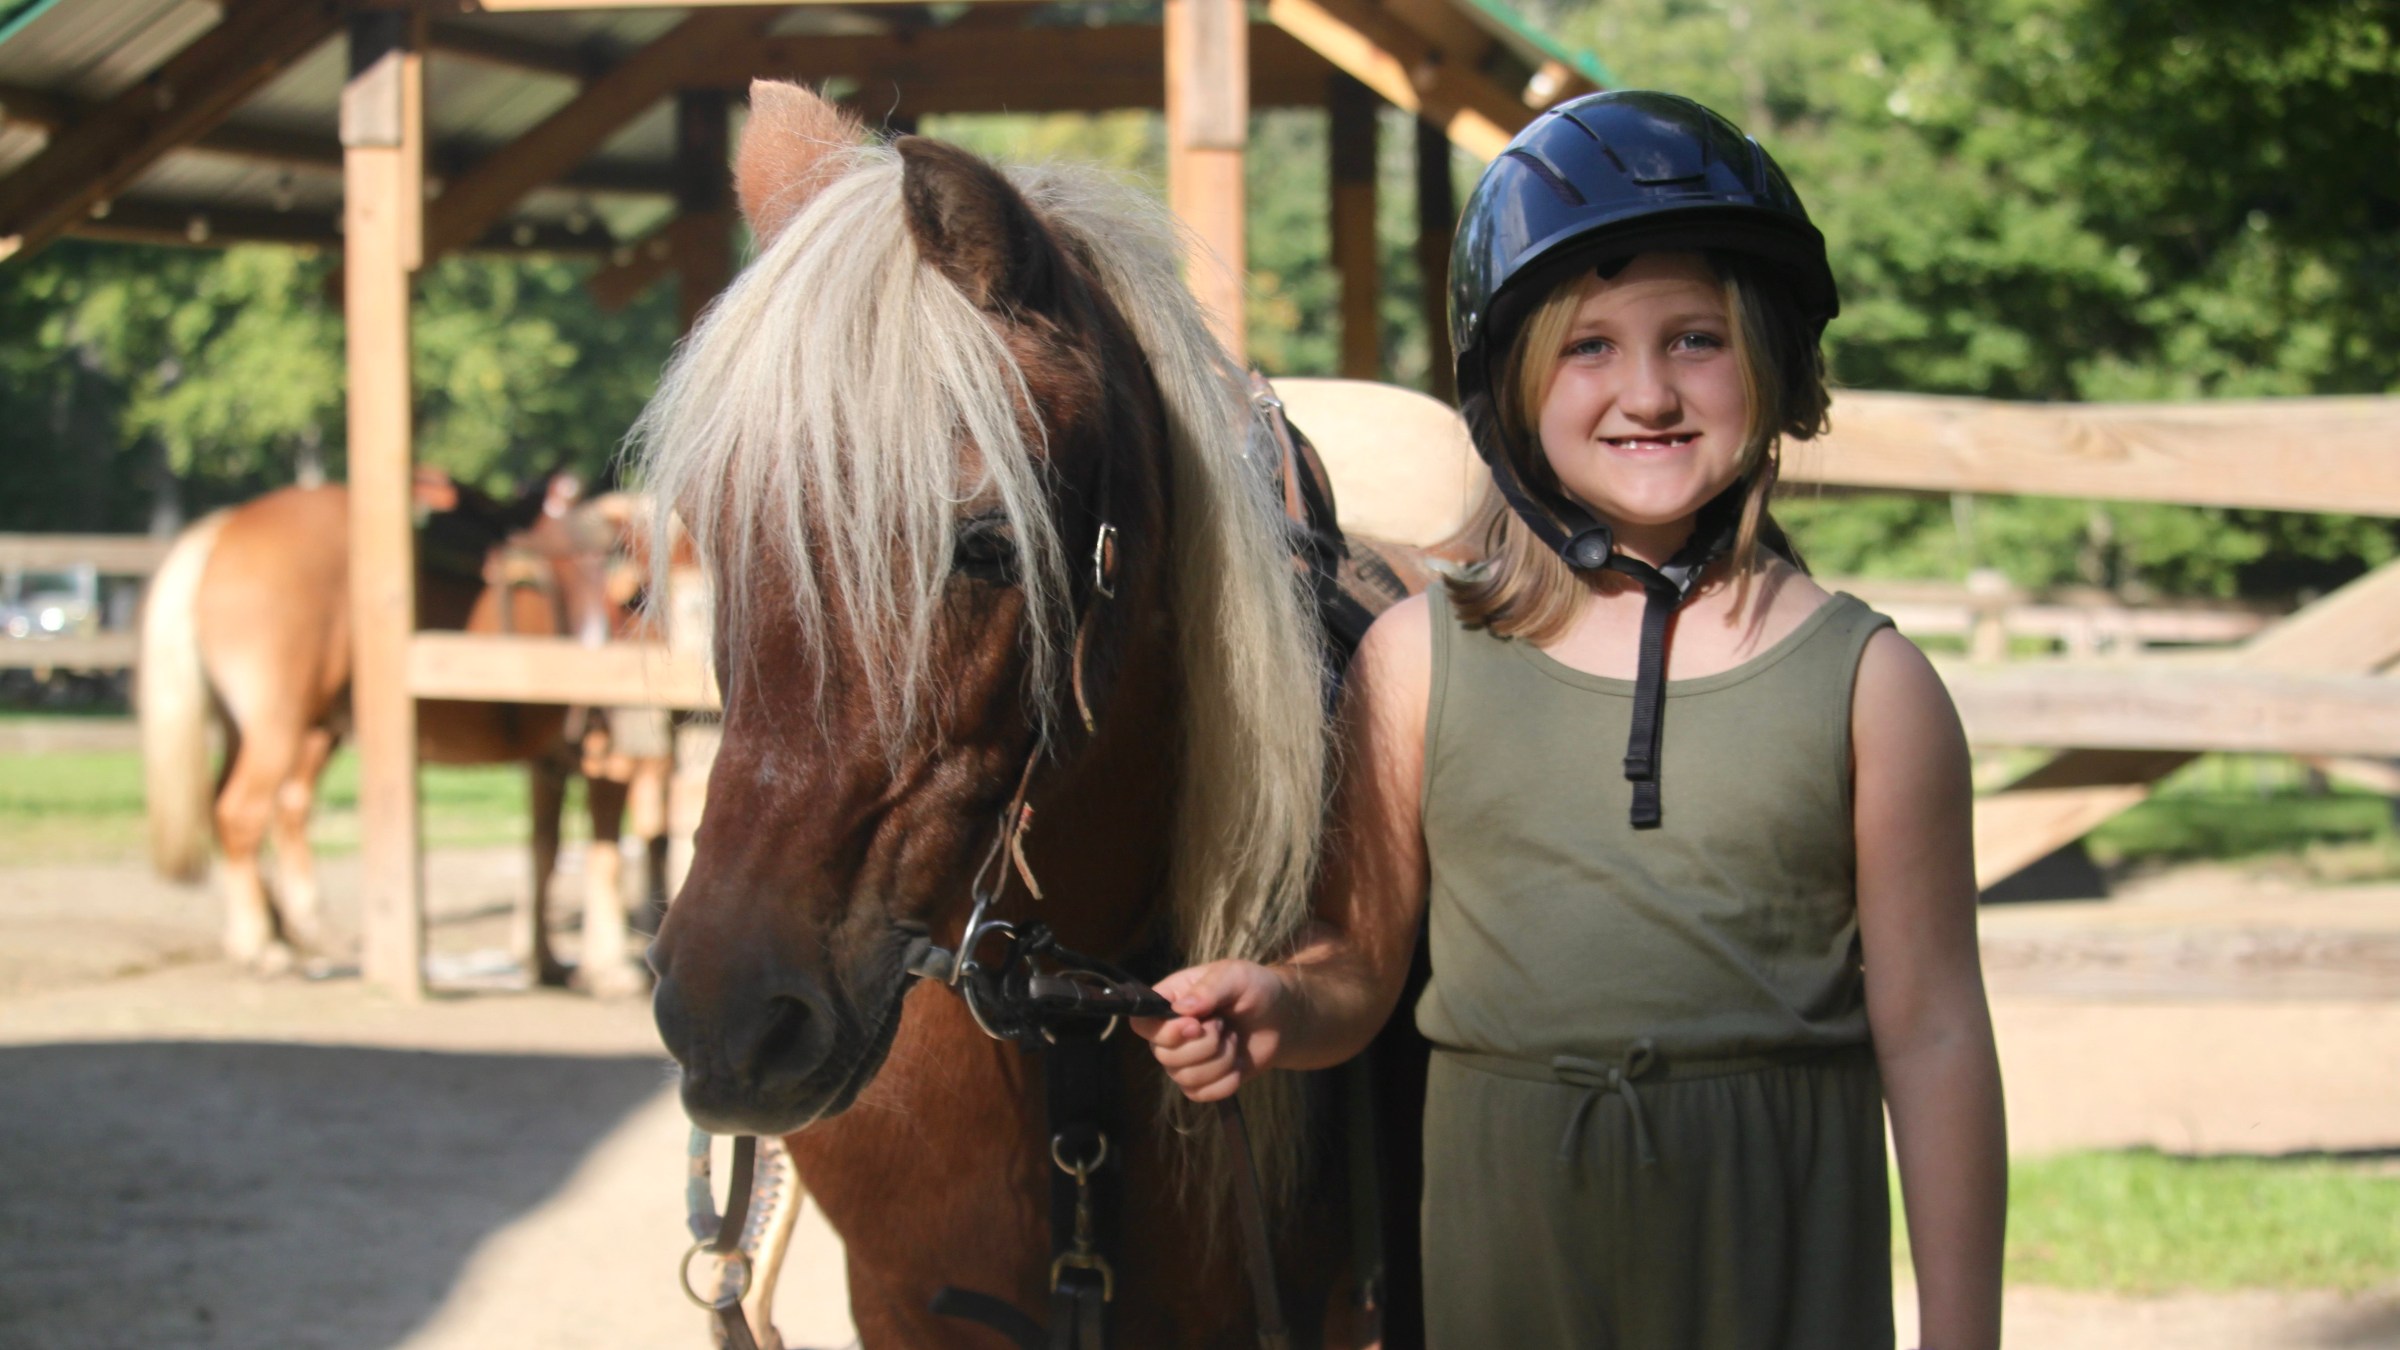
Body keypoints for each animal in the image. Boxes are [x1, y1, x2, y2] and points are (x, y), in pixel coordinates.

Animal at [137, 475, 654, 996]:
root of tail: (224, 529)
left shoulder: (547, 759)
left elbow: (542, 853)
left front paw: (544, 960)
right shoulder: (612, 754)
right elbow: (604, 856)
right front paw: (611, 968)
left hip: (259, 728)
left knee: (246, 808)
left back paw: (280, 930)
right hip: (280, 724)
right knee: (243, 813)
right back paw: (262, 943)